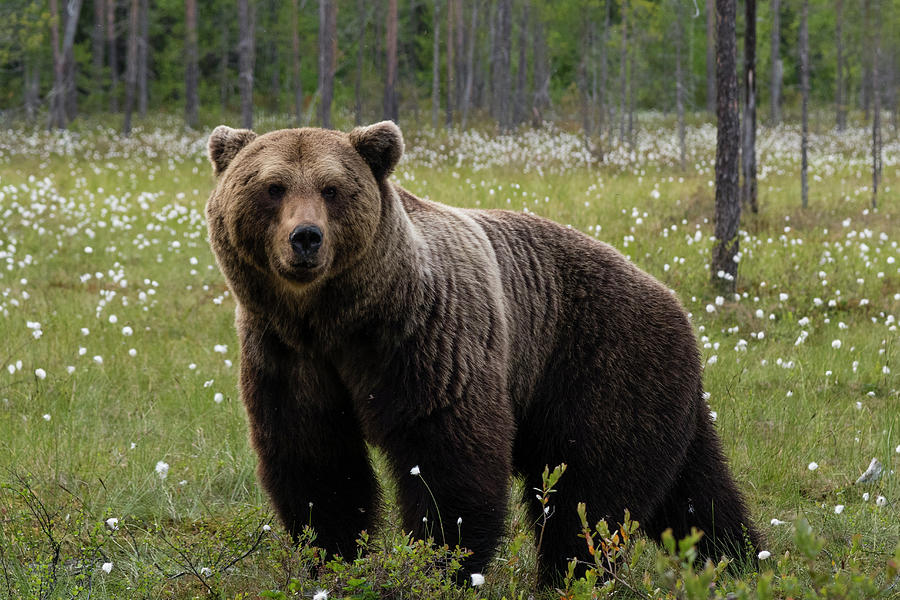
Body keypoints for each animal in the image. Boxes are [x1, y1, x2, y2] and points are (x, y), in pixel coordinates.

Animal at [204, 119, 760, 584]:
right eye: (272, 187)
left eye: (332, 188)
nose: (306, 238)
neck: (338, 319)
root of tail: (677, 305)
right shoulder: (285, 354)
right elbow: (315, 458)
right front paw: (335, 557)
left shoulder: (427, 340)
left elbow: (449, 459)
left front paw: (442, 564)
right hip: (659, 396)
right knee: (698, 495)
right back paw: (741, 560)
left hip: (603, 364)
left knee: (591, 495)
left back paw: (565, 576)